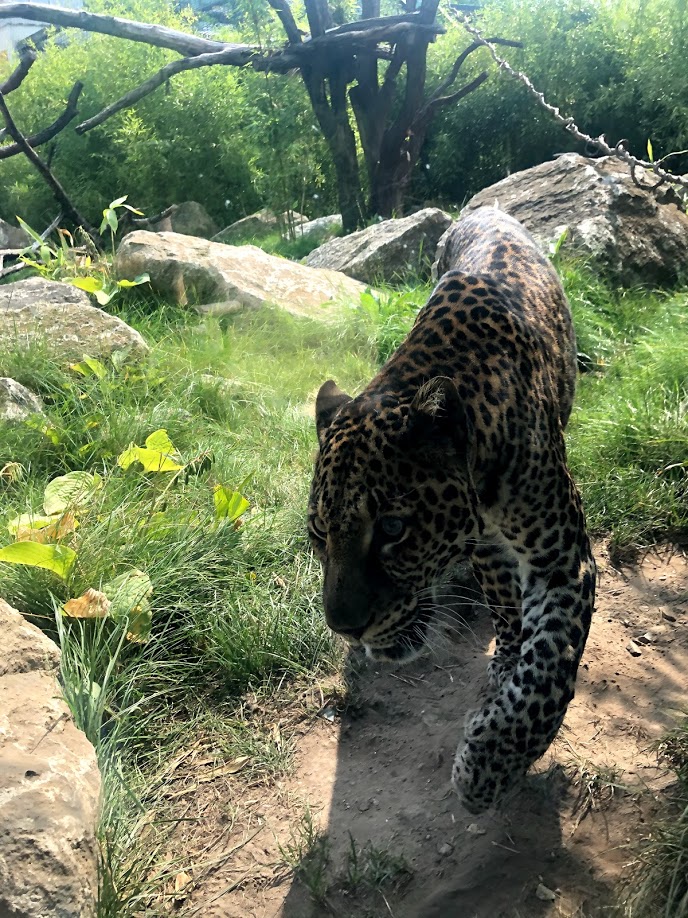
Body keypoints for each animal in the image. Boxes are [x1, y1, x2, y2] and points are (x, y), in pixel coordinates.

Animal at [307, 205, 596, 813]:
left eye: (393, 529)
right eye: (319, 534)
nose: (344, 628)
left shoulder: (563, 561)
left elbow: (548, 668)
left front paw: (486, 769)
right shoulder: (486, 546)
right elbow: (511, 616)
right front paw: (505, 667)